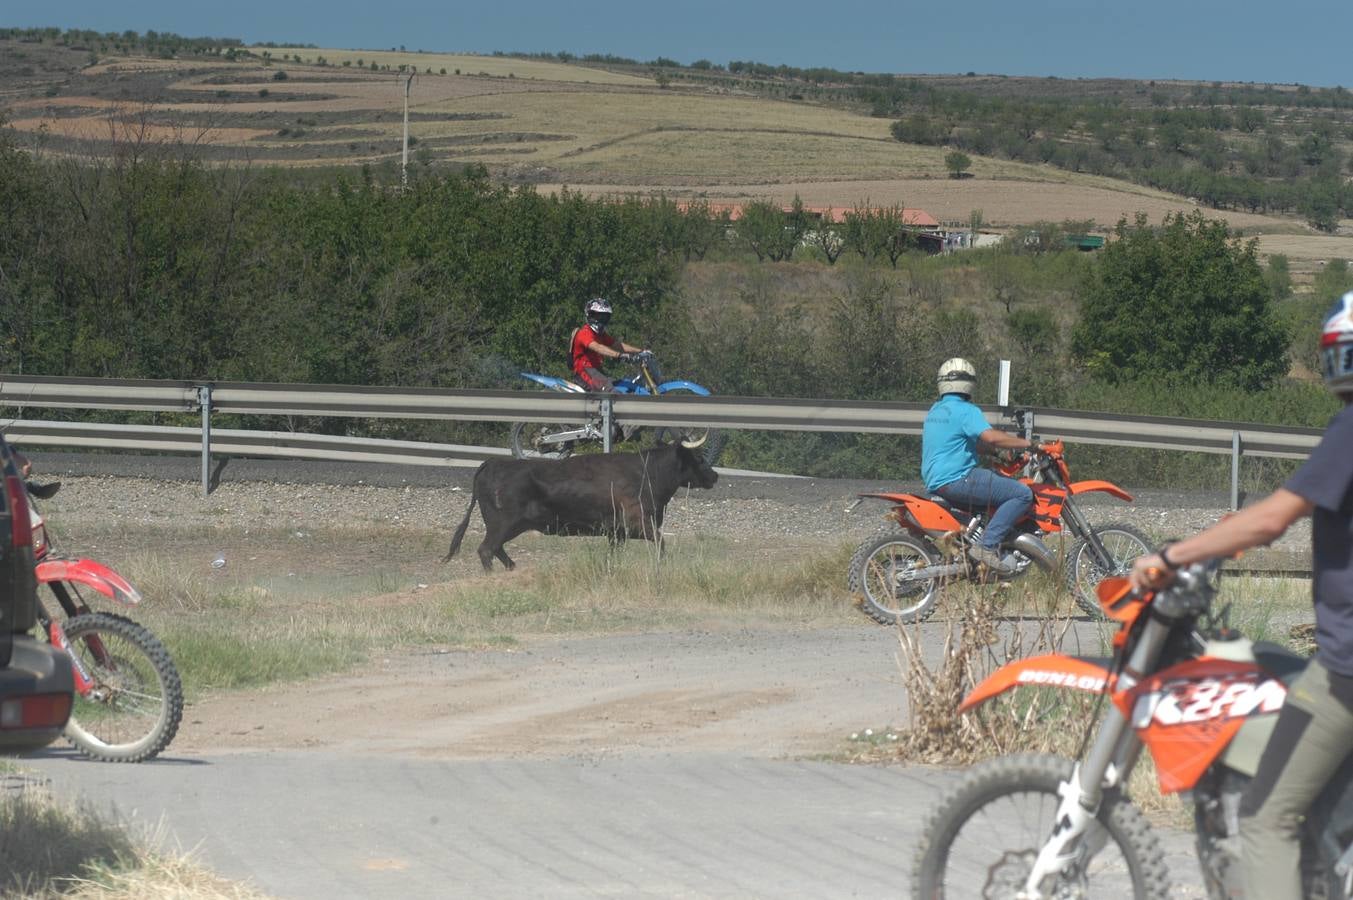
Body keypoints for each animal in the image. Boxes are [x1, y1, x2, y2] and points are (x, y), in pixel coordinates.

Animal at [441, 441, 719, 568]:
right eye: (698, 458)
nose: (715, 476)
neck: (648, 474)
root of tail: (493, 463)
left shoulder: (616, 531)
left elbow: (614, 554)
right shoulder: (638, 523)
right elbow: (661, 543)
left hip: (508, 525)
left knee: (496, 549)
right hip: (503, 523)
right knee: (487, 549)